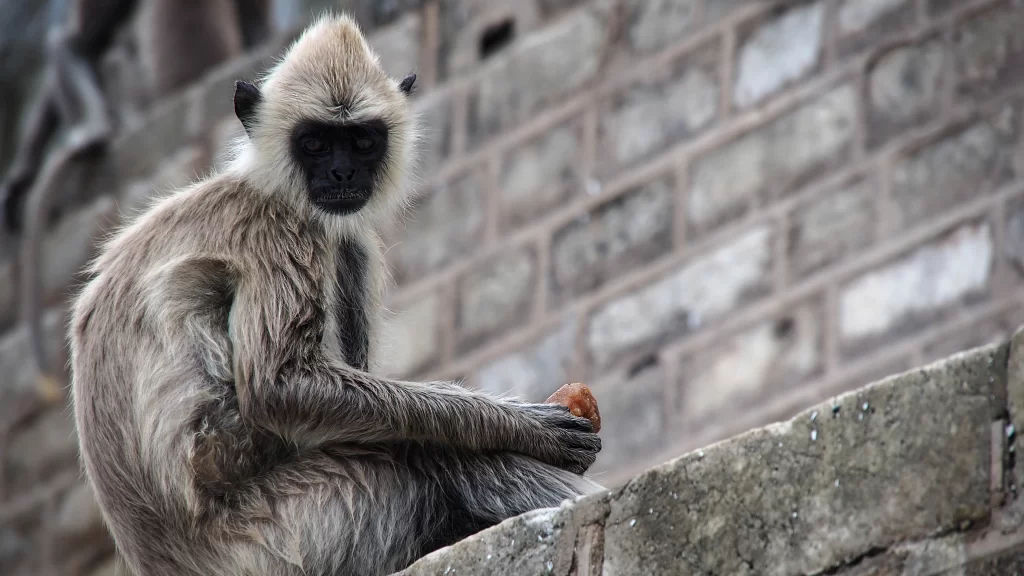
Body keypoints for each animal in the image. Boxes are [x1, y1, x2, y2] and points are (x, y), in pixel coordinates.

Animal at [69, 12, 603, 576]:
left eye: (362, 141)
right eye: (316, 144)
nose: (342, 172)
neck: (262, 187)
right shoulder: (278, 231)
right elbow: (281, 387)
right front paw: (528, 429)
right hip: (289, 531)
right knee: (427, 455)